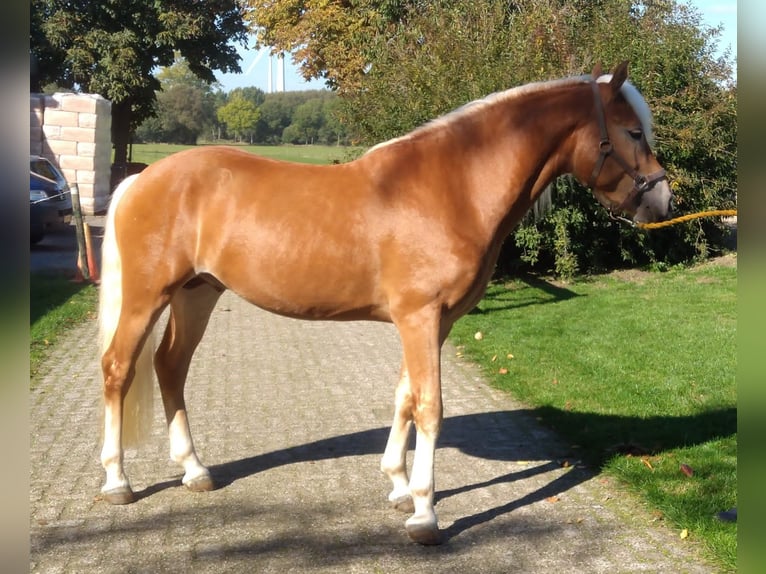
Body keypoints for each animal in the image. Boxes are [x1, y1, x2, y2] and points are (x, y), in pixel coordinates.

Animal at [100, 62, 672, 544]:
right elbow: (430, 407)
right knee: (119, 368)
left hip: (197, 294)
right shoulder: (420, 316)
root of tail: (141, 179)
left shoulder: (433, 322)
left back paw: (195, 471)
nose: (663, 201)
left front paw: (397, 485)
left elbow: (404, 397)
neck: (453, 187)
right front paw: (425, 513)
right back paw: (117, 481)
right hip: (147, 298)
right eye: (633, 132)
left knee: (170, 366)